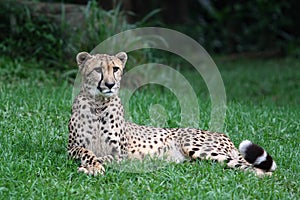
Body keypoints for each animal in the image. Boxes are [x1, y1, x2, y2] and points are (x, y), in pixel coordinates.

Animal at [68, 52, 276, 177]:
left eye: (115, 69)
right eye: (98, 69)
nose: (110, 84)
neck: (98, 105)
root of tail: (223, 135)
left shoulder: (121, 153)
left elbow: (106, 157)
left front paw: (91, 167)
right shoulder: (72, 148)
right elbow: (87, 152)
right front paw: (92, 165)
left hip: (197, 147)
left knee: (258, 169)